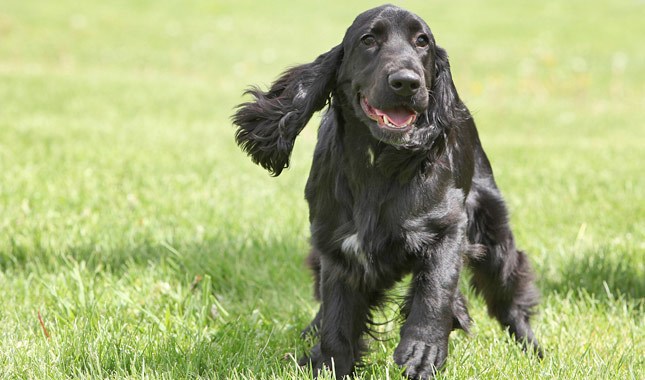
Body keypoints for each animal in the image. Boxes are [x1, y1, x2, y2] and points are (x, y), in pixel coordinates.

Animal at [234, 4, 540, 378]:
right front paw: (329, 364)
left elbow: (435, 290)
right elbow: (337, 318)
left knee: (510, 293)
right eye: (368, 39)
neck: (376, 166)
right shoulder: (337, 248)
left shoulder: (449, 228)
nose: (406, 82)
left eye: (422, 42)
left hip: (492, 228)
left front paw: (422, 351)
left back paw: (534, 351)